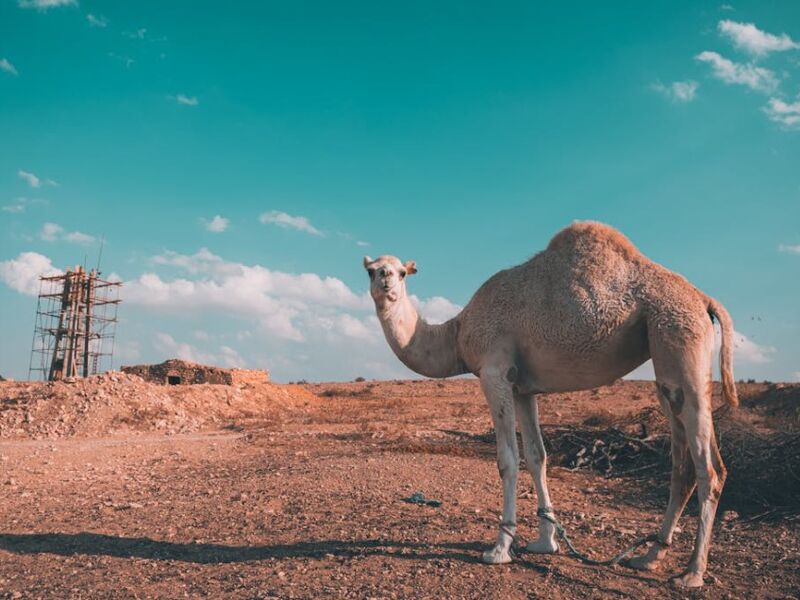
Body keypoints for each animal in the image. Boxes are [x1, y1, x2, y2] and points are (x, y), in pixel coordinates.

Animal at [362, 219, 736, 584]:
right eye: (371, 270)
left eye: (402, 272)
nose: (386, 281)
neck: (456, 333)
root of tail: (704, 299)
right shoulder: (522, 388)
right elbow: (537, 457)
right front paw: (546, 542)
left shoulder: (494, 372)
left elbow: (507, 460)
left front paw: (500, 548)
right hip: (665, 360)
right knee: (682, 465)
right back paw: (650, 556)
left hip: (678, 337)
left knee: (709, 469)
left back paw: (692, 573)